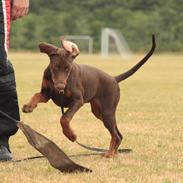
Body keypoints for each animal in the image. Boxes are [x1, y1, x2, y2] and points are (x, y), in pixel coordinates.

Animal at [21, 34, 156, 157]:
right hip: (99, 112)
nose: (60, 87)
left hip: (107, 112)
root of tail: (113, 79)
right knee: (118, 134)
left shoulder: (77, 101)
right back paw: (114, 153)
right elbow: (37, 95)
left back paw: (110, 154)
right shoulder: (46, 94)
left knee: (116, 135)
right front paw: (28, 106)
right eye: (55, 67)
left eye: (68, 68)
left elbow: (64, 118)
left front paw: (71, 135)